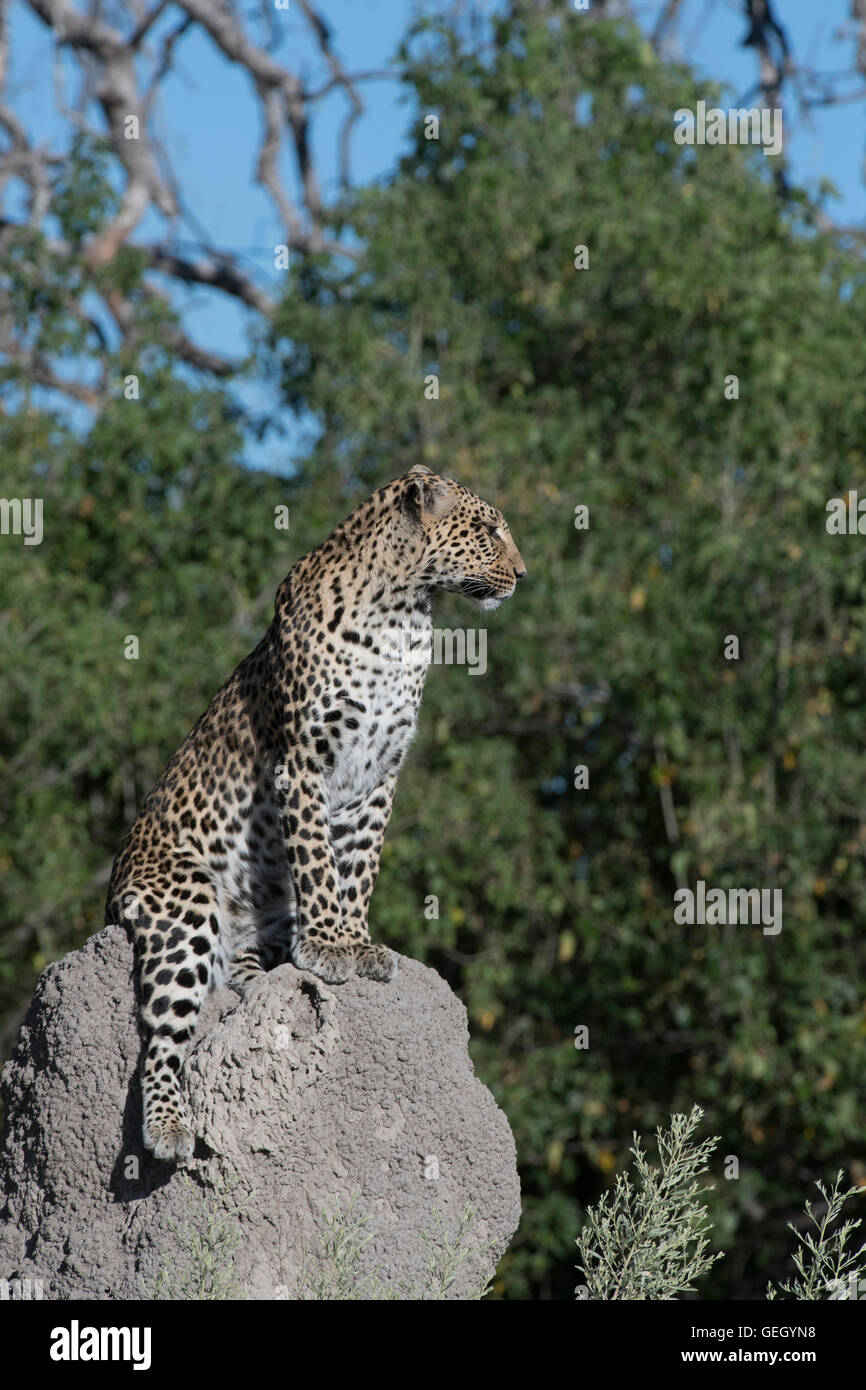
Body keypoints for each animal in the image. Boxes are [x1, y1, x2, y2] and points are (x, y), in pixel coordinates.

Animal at [105, 465, 526, 1162]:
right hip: (185, 903)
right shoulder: (301, 763)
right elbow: (317, 861)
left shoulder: (378, 775)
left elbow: (357, 865)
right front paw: (330, 945)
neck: (405, 612)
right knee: (161, 1040)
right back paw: (168, 1127)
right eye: (488, 530)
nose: (523, 574)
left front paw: (357, 942)